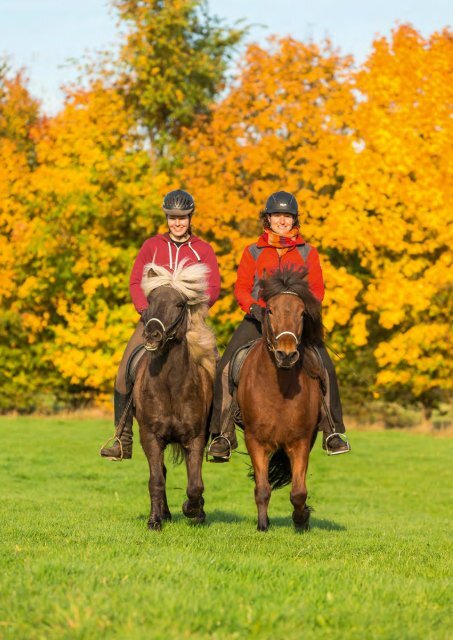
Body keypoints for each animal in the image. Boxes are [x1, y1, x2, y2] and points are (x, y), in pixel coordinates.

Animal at [132, 260, 215, 528]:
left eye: (179, 304)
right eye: (150, 300)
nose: (152, 334)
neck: (170, 388)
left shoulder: (196, 437)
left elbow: (195, 484)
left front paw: (193, 510)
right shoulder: (150, 437)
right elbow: (156, 479)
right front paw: (154, 521)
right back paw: (164, 513)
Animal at [235, 264, 324, 528]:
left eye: (302, 313)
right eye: (270, 310)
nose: (286, 354)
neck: (279, 391)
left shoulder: (301, 441)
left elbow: (299, 492)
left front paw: (301, 519)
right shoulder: (255, 440)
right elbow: (262, 489)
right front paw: (263, 525)